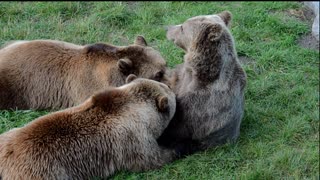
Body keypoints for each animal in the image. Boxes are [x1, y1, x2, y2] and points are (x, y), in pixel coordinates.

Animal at [0, 75, 178, 180]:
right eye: (168, 88)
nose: (172, 88)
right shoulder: (133, 139)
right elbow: (152, 159)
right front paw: (178, 147)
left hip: (7, 136)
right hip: (44, 172)